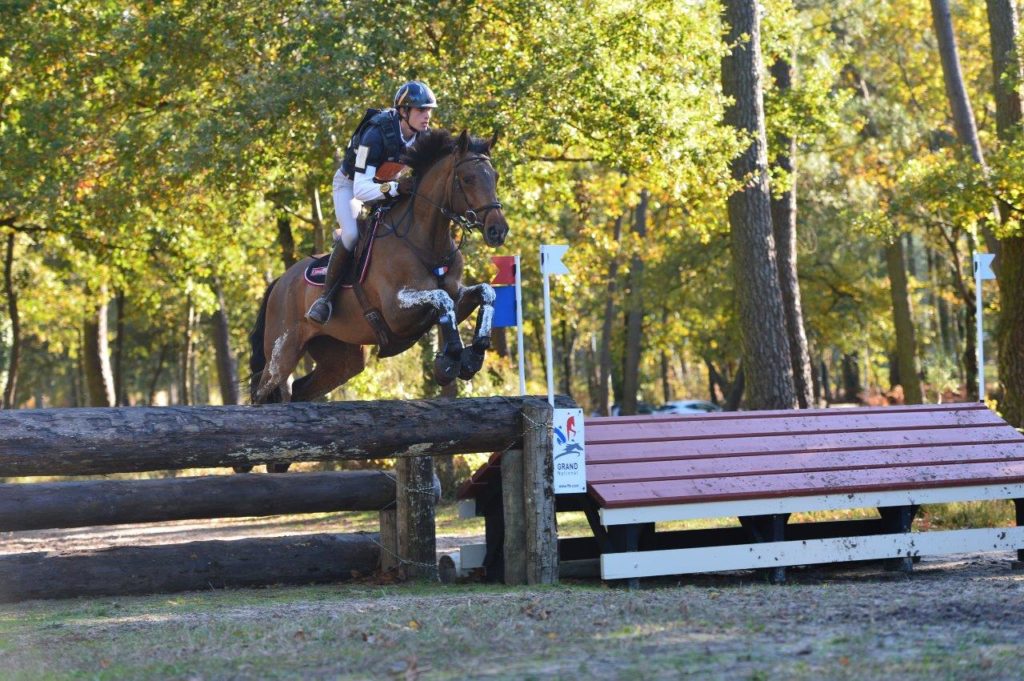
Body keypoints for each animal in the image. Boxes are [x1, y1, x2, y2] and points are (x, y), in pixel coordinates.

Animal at [244, 130, 507, 411]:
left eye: (495, 177)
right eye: (468, 179)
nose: (498, 230)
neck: (425, 242)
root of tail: (280, 282)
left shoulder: (458, 296)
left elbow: (485, 292)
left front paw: (474, 355)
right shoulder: (397, 313)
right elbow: (441, 298)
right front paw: (450, 361)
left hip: (342, 358)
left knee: (301, 389)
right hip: (282, 350)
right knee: (264, 391)